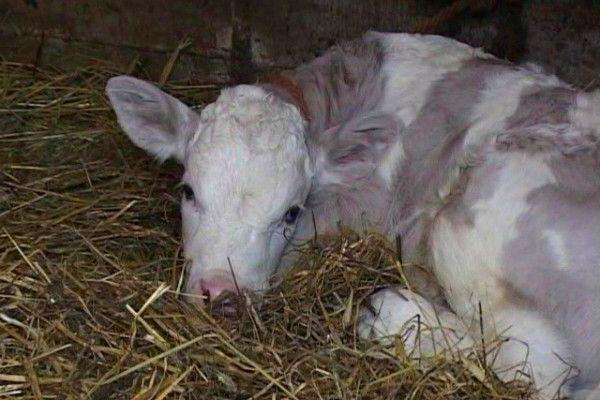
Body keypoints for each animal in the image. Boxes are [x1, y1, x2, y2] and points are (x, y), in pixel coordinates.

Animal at [105, 32, 596, 400]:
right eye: (188, 191)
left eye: (290, 213)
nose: (223, 295)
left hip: (475, 224)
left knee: (529, 366)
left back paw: (388, 316)